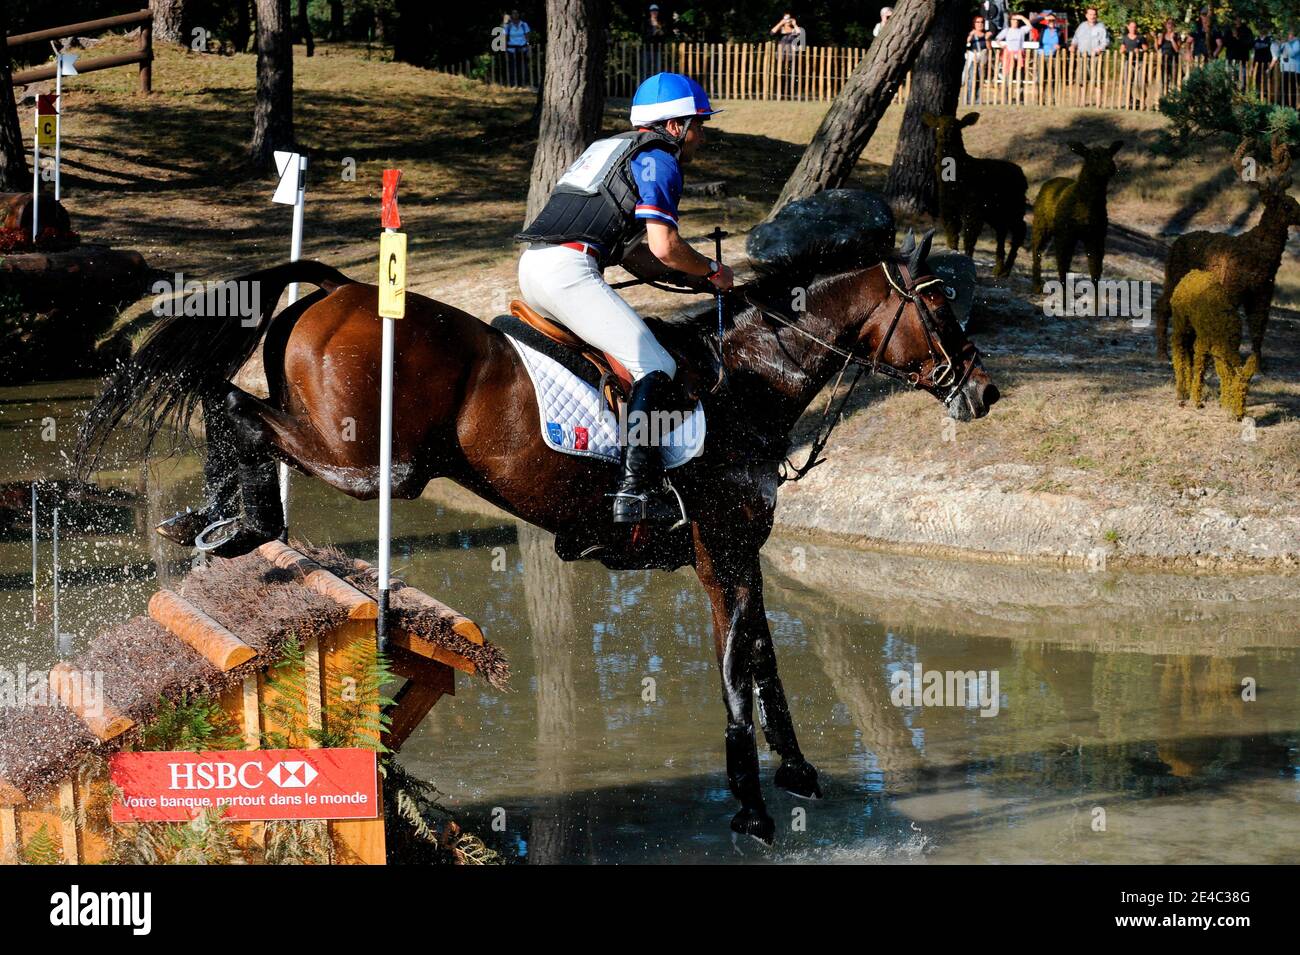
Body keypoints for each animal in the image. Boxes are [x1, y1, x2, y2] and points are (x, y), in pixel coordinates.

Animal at [76, 231, 998, 841]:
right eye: (939, 306)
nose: (984, 389)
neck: (751, 381)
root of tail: (338, 287)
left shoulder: (746, 552)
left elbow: (764, 656)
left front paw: (798, 773)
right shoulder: (721, 549)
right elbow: (738, 665)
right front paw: (751, 805)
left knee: (239, 410)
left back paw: (215, 519)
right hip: (376, 465)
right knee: (236, 409)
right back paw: (245, 521)